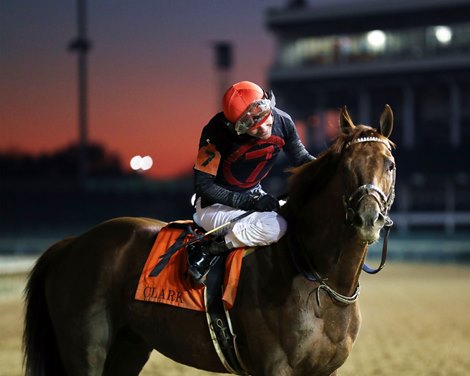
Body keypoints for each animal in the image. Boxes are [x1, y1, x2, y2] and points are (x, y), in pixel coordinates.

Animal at [23, 104, 396, 374]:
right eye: (345, 166)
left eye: (389, 164)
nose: (368, 217)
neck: (318, 278)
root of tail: (72, 244)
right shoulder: (275, 367)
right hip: (85, 349)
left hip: (129, 346)